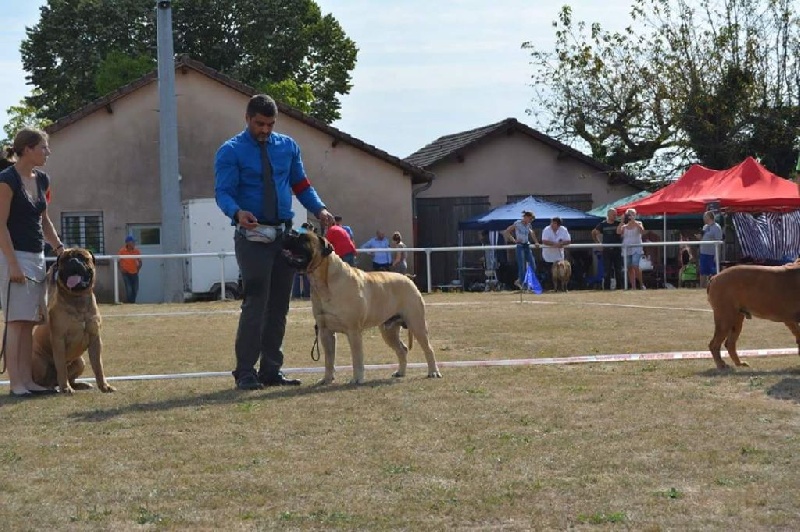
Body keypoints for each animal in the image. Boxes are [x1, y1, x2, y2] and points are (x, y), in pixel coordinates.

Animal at [31, 247, 115, 392]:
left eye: (82, 257)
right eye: (65, 259)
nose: (73, 261)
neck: (77, 298)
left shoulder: (95, 338)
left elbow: (98, 365)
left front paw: (104, 386)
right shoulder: (59, 339)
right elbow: (61, 367)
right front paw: (66, 388)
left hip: (80, 362)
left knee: (69, 377)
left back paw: (81, 384)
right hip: (40, 363)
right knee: (42, 381)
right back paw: (51, 388)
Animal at [282, 228, 444, 382]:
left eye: (304, 239)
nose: (287, 234)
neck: (323, 282)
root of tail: (408, 278)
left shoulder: (353, 331)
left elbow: (357, 357)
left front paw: (357, 378)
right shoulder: (325, 331)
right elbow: (329, 359)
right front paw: (327, 379)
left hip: (416, 324)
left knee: (428, 349)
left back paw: (433, 372)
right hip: (388, 330)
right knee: (402, 349)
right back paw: (400, 372)